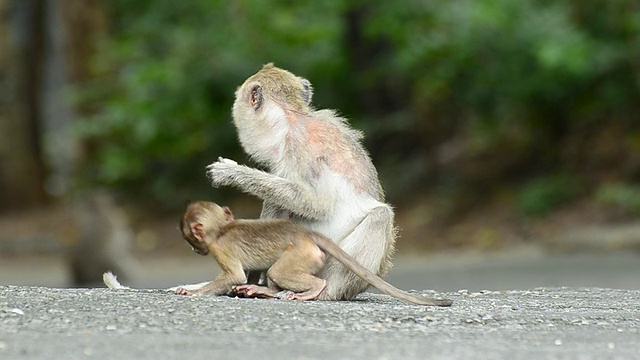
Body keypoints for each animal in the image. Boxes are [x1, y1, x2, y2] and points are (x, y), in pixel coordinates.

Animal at [175, 200, 452, 306]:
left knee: (280, 271)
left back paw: (311, 290)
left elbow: (234, 276)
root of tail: (306, 234)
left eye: (189, 237)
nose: (193, 248)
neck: (221, 228)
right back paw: (267, 291)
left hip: (303, 255)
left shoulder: (220, 249)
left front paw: (195, 292)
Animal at [208, 64, 392, 300]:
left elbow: (317, 206)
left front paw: (232, 173)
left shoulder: (300, 149)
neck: (290, 120)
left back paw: (321, 291)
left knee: (380, 216)